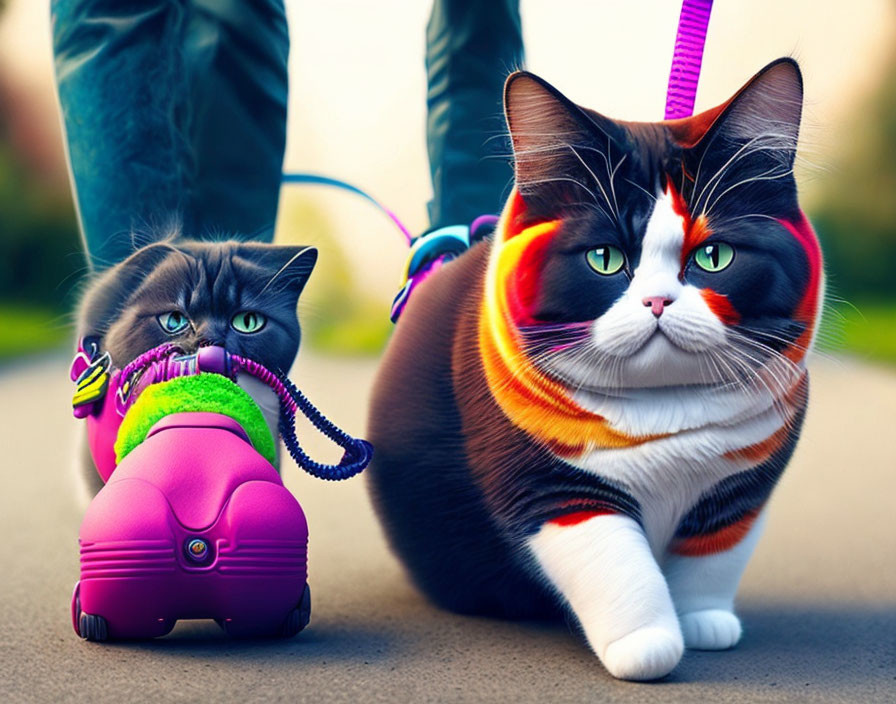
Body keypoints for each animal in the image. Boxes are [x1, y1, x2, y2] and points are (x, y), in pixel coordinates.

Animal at [368, 60, 824, 680]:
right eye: (605, 258)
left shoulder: (743, 485)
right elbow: (614, 560)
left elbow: (714, 551)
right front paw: (647, 643)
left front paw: (703, 620)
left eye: (715, 257)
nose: (657, 301)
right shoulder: (552, 488)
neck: (665, 407)